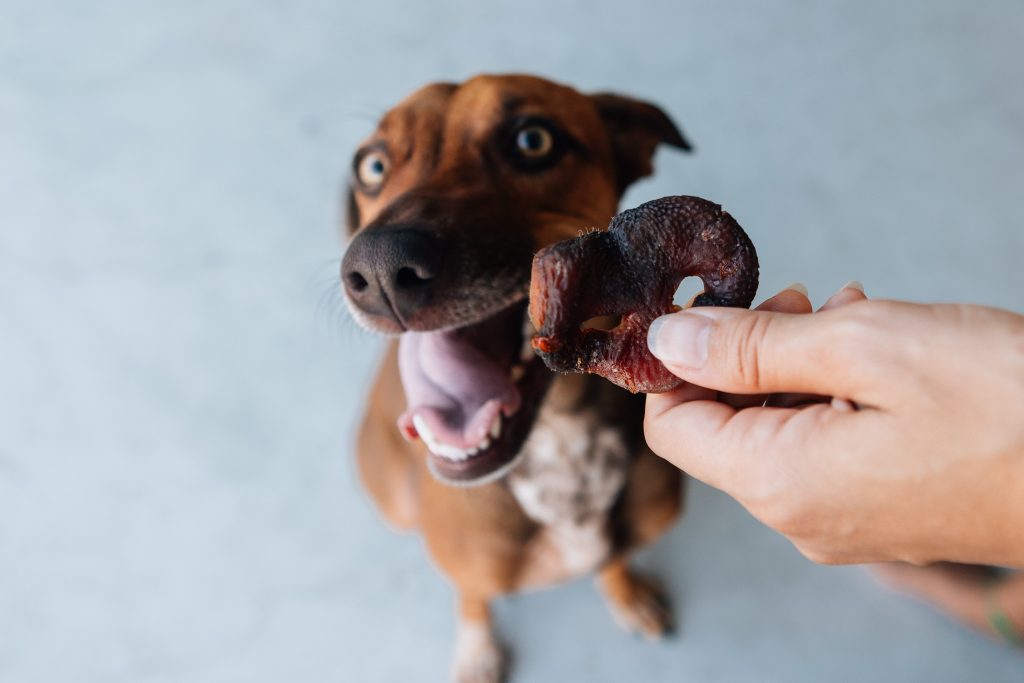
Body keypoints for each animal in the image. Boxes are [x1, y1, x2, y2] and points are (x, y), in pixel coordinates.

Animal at [342, 74, 688, 683]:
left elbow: (615, 560)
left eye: (533, 140)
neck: (559, 433)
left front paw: (627, 594)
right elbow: (473, 598)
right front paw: (477, 651)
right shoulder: (470, 569)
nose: (379, 270)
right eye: (373, 166)